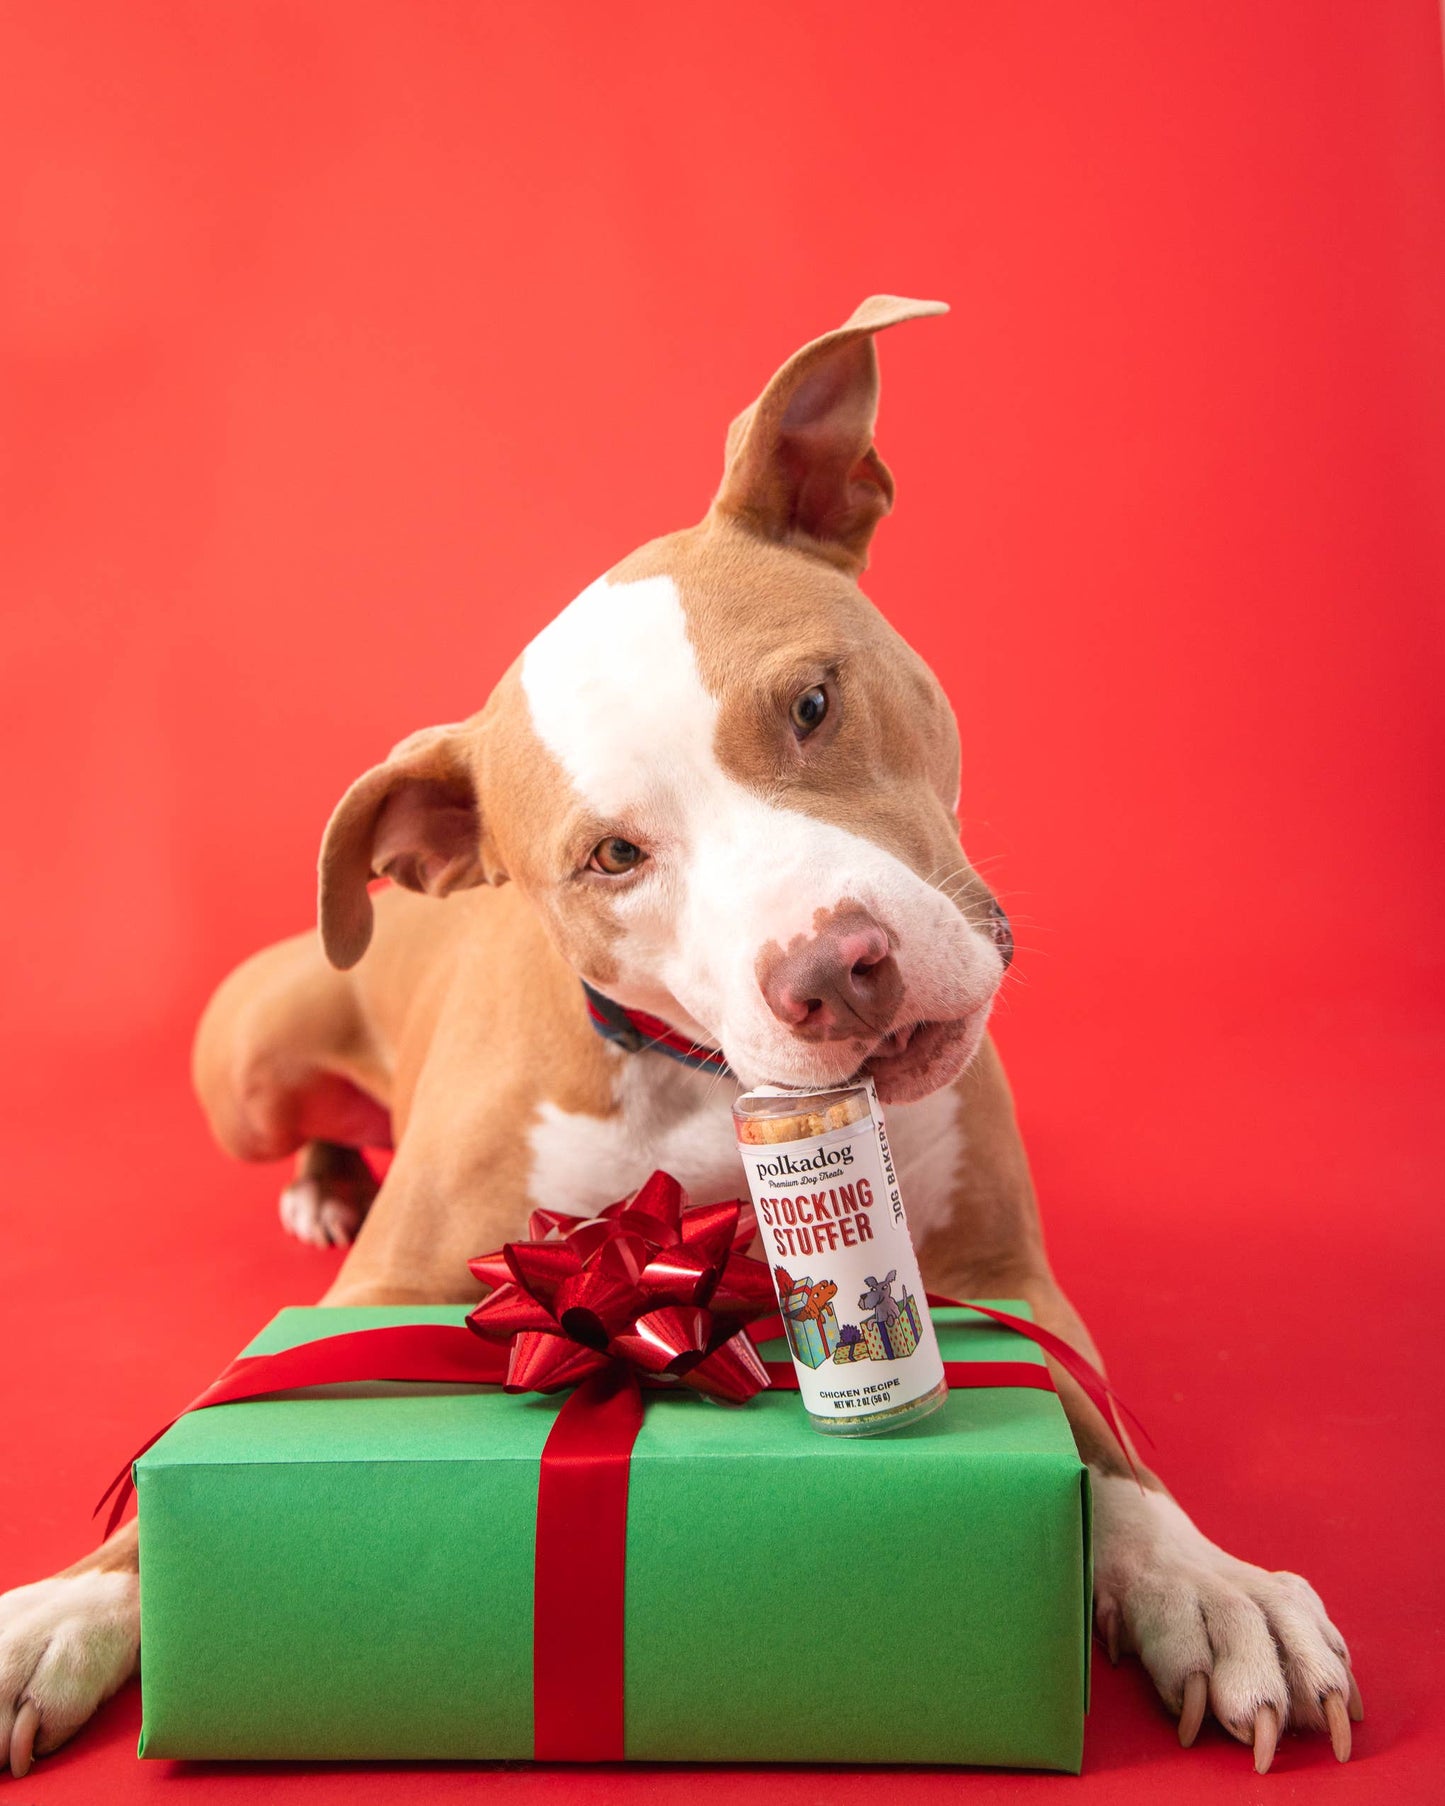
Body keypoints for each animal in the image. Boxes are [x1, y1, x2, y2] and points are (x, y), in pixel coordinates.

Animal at [0, 296, 1358, 1777]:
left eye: (813, 703)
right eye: (611, 857)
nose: (837, 972)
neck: (704, 1079)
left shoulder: (1004, 1278)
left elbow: (1097, 1427)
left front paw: (1208, 1583)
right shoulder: (375, 1296)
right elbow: (233, 1406)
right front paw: (67, 1604)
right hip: (246, 1065)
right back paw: (320, 1181)